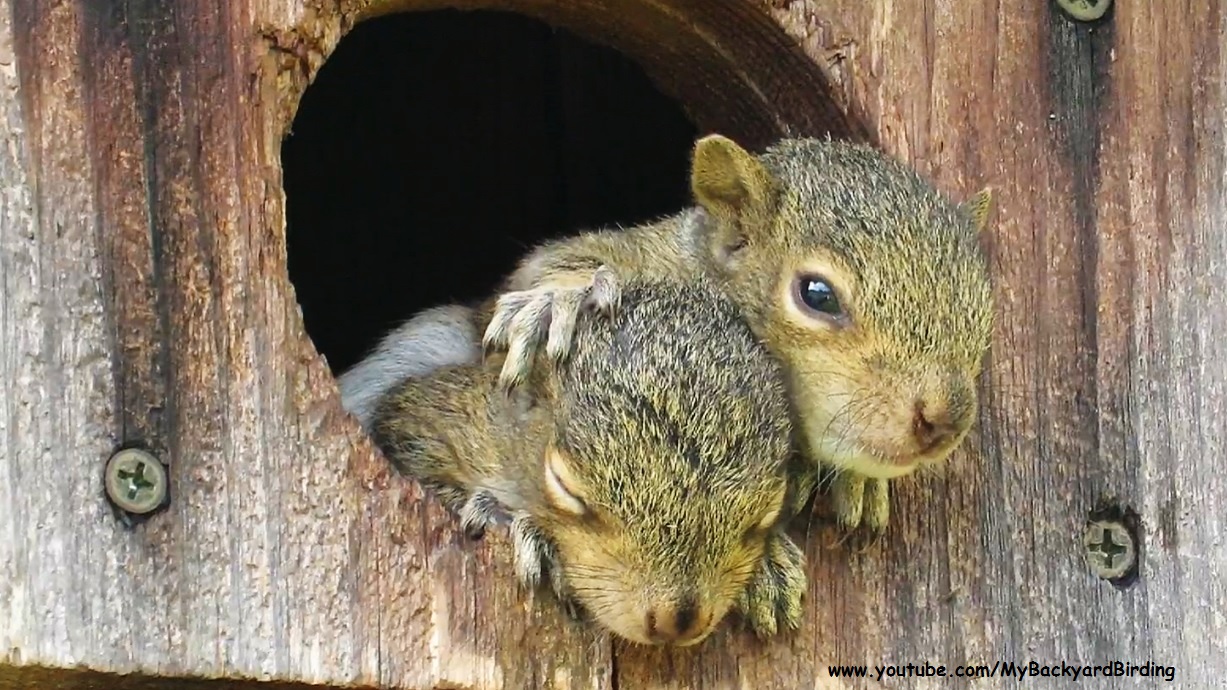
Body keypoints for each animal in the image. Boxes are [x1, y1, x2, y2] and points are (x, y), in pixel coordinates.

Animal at [368, 279, 808, 646]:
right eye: (567, 489)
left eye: (766, 514)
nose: (676, 622)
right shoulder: (433, 418)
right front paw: (509, 521)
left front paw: (770, 572)